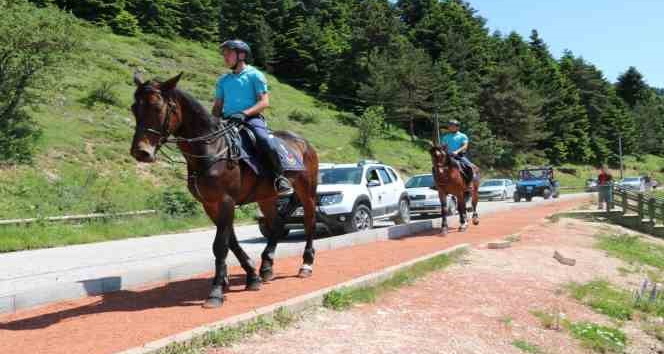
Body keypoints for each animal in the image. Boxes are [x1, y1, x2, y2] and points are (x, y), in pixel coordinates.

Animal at [129, 73, 320, 308]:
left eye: (157, 107)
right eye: (134, 108)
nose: (141, 152)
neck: (211, 149)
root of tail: (304, 143)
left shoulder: (226, 201)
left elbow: (221, 244)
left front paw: (216, 291)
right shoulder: (210, 205)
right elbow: (231, 242)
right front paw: (251, 276)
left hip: (307, 190)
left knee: (310, 222)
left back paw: (306, 264)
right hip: (266, 197)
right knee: (276, 225)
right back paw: (266, 267)